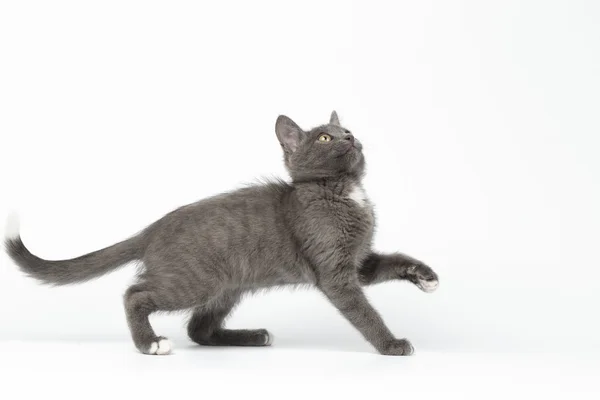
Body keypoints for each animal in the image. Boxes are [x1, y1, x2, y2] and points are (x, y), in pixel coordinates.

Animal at [2, 111, 438, 356]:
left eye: (345, 129)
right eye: (325, 137)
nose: (350, 137)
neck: (343, 190)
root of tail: (152, 228)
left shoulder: (359, 261)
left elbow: (392, 262)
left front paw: (425, 275)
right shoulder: (334, 271)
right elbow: (364, 311)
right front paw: (390, 344)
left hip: (228, 288)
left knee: (198, 329)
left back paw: (252, 336)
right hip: (195, 281)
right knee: (136, 294)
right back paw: (150, 343)